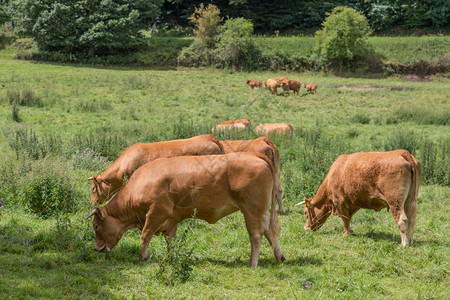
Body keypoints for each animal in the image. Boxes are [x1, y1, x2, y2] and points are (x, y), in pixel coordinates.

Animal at [85, 154, 284, 266]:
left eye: (96, 226)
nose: (96, 249)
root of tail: (256, 156)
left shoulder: (156, 213)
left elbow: (145, 235)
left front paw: (142, 257)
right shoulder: (172, 220)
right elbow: (170, 241)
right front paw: (170, 258)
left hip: (252, 212)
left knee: (256, 235)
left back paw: (253, 262)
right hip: (261, 212)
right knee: (270, 232)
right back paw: (279, 257)